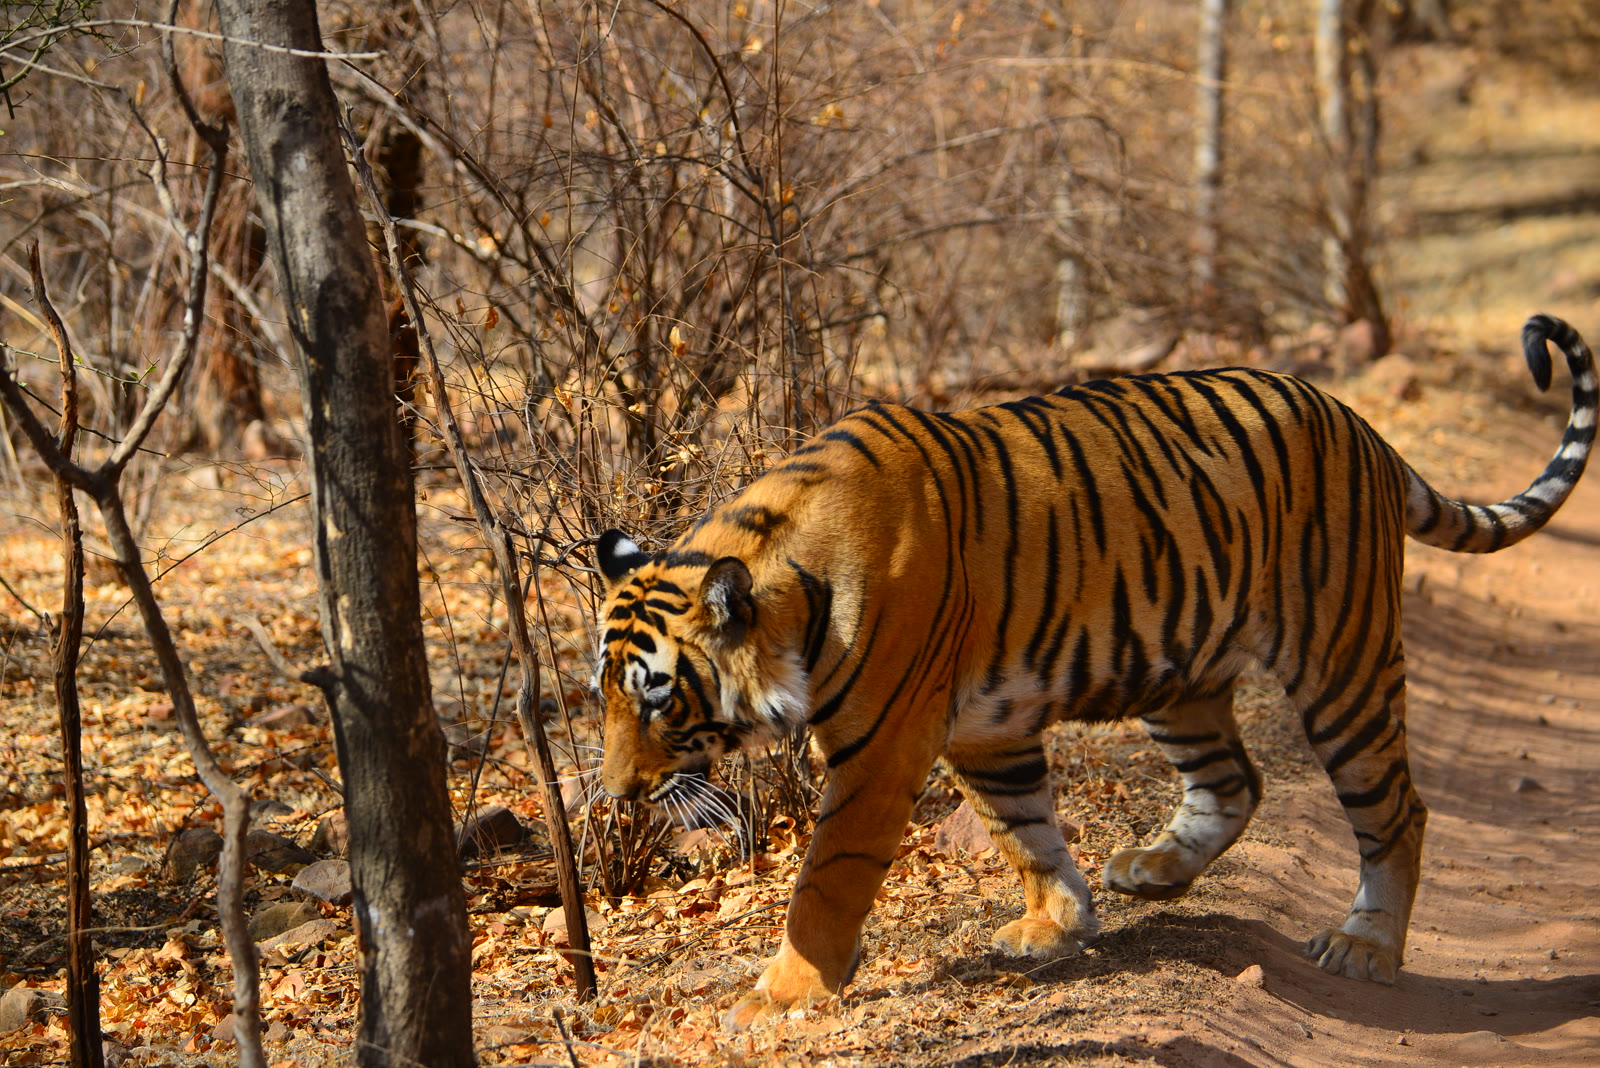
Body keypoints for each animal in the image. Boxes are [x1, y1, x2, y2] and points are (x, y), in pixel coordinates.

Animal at [591, 314, 1596, 1031]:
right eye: (601, 698)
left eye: (657, 698)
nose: (615, 795)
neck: (786, 575)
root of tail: (1364, 429)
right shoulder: (983, 729)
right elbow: (1023, 829)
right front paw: (1057, 924)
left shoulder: (884, 747)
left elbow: (829, 877)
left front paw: (783, 993)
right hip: (1182, 670)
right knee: (1236, 779)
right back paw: (1155, 869)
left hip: (1341, 661)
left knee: (1396, 810)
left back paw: (1367, 946)